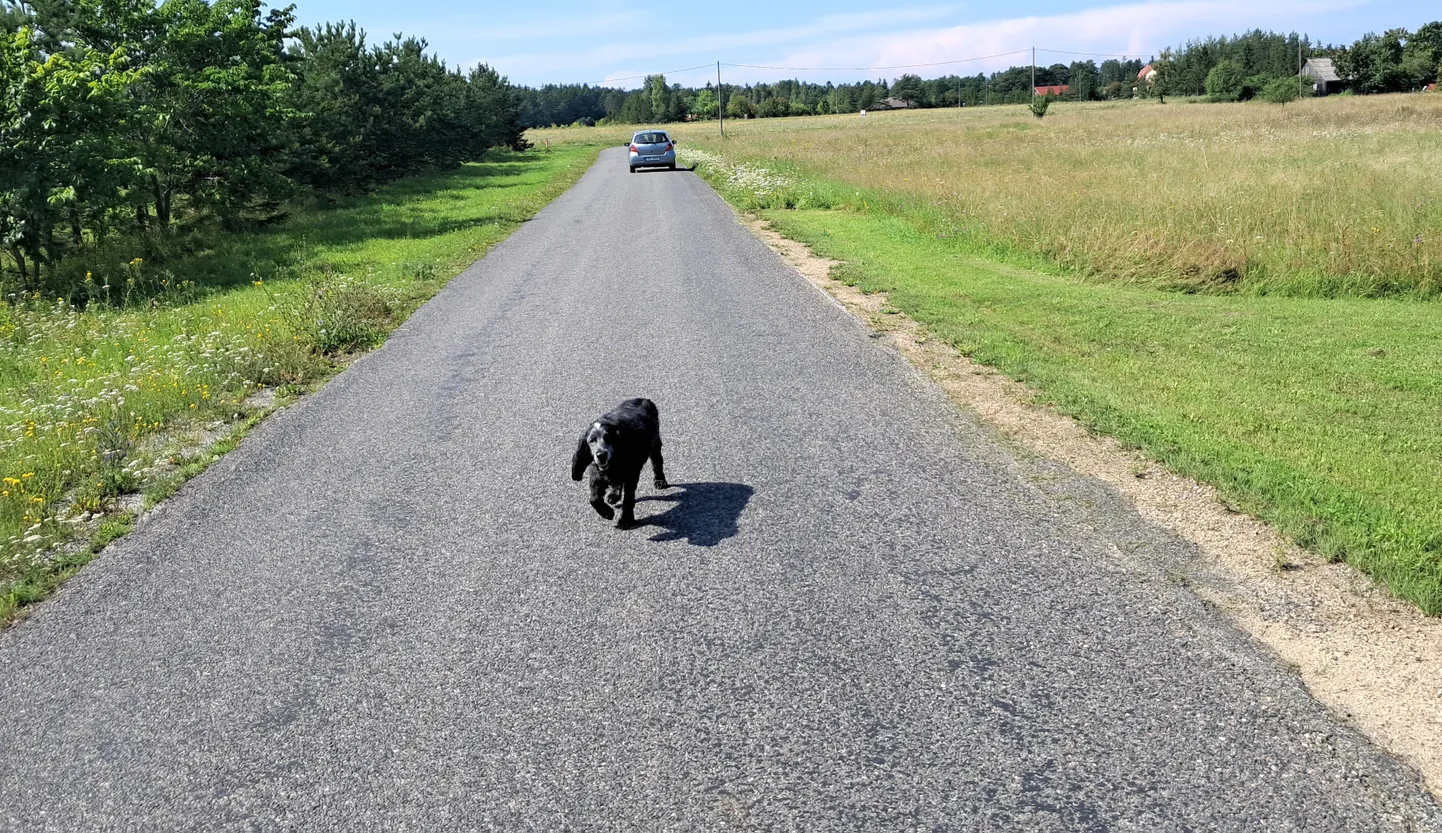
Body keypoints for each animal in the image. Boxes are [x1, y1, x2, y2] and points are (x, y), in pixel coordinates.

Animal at [568, 394, 669, 524]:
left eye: (608, 438)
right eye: (591, 440)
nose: (601, 455)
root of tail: (645, 399)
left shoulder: (631, 475)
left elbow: (628, 499)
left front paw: (626, 519)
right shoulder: (596, 474)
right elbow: (594, 499)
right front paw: (607, 513)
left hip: (654, 444)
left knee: (657, 463)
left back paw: (660, 480)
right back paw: (614, 495)